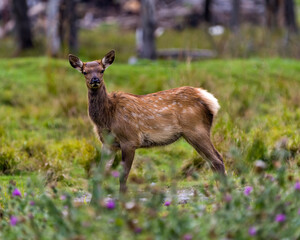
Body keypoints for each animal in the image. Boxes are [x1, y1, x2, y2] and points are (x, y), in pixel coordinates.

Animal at [68, 51, 225, 193]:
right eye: (84, 72)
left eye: (102, 70)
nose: (95, 80)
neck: (107, 118)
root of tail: (210, 100)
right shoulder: (108, 143)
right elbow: (99, 174)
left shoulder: (129, 140)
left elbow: (123, 175)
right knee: (212, 161)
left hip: (196, 130)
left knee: (217, 159)